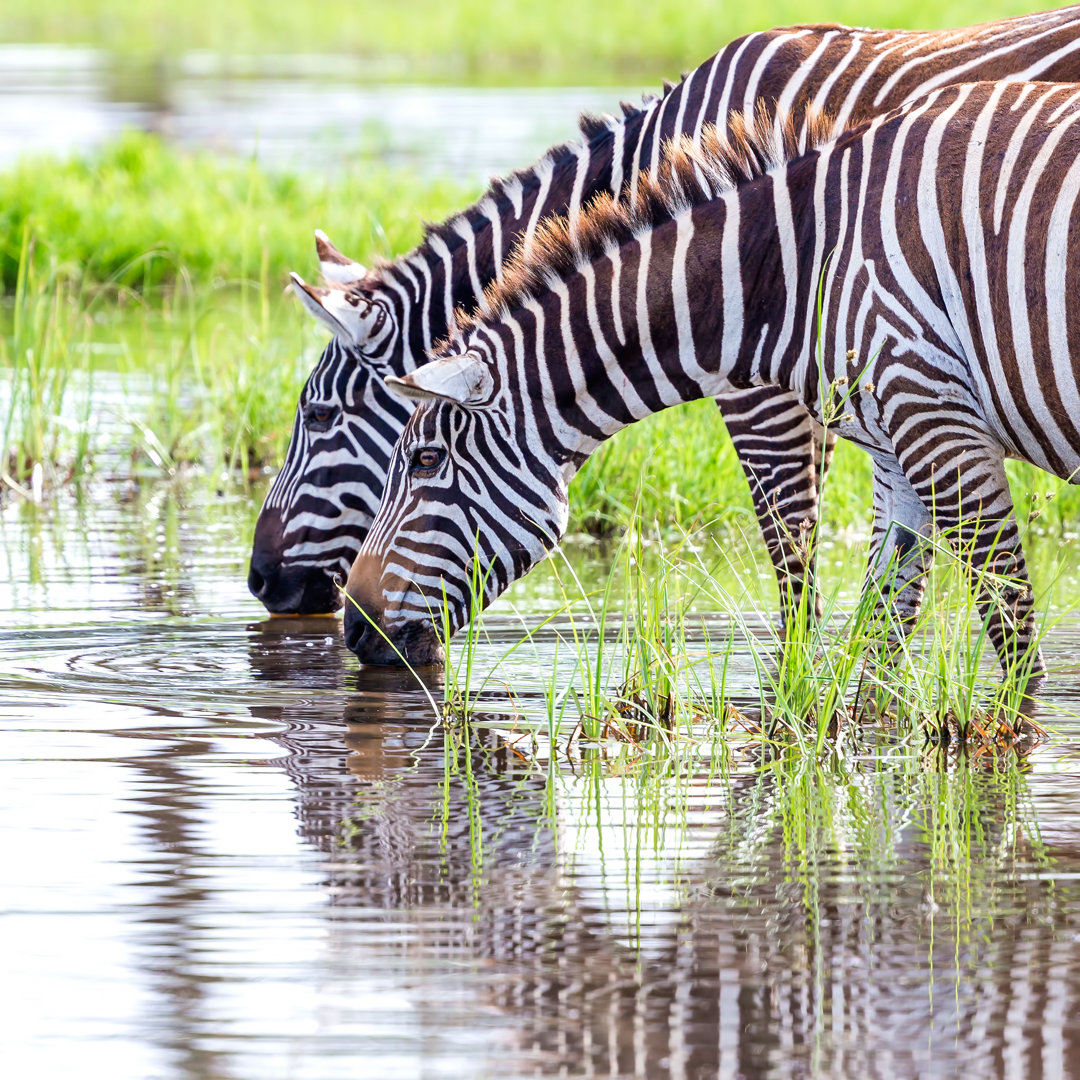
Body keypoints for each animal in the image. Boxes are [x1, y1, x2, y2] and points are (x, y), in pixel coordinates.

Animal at [341, 79, 1080, 712]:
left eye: (426, 462)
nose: (351, 629)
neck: (794, 264)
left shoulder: (938, 419)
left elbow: (1015, 641)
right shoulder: (899, 445)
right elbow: (878, 636)